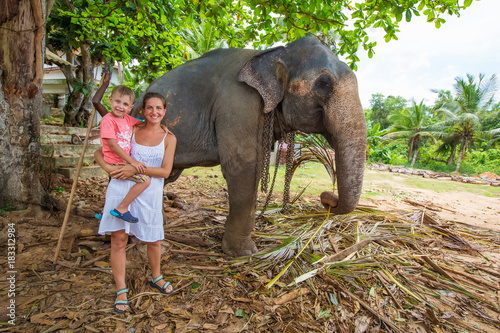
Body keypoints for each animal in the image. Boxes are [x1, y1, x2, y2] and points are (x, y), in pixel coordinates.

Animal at [133, 35, 368, 256]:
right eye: (324, 83)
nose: (327, 197)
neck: (277, 51)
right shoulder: (239, 104)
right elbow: (244, 169)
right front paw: (242, 253)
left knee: (167, 176)